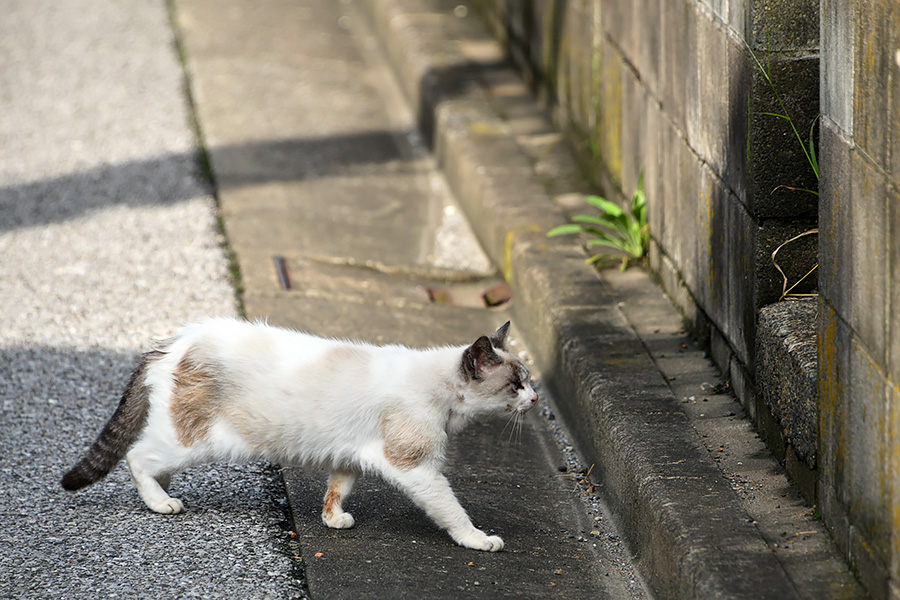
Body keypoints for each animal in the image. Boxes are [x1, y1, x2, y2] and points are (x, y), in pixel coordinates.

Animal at [65, 318, 540, 552]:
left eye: (529, 380)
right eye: (516, 385)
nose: (536, 398)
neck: (439, 390)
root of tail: (174, 342)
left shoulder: (350, 457)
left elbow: (337, 490)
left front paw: (333, 520)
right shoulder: (417, 468)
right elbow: (453, 512)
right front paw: (478, 540)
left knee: (153, 461)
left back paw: (163, 493)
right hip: (199, 442)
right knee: (139, 457)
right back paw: (160, 502)